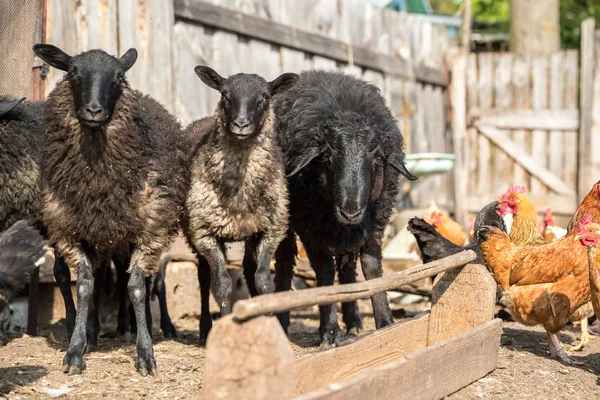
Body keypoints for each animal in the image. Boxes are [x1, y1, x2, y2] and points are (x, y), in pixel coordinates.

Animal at [274, 69, 418, 346]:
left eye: (377, 158)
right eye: (327, 156)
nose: (350, 211)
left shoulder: (374, 223)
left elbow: (371, 266)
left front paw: (385, 322)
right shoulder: (310, 228)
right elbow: (324, 271)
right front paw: (330, 331)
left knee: (348, 268)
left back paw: (353, 321)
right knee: (284, 262)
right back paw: (282, 323)